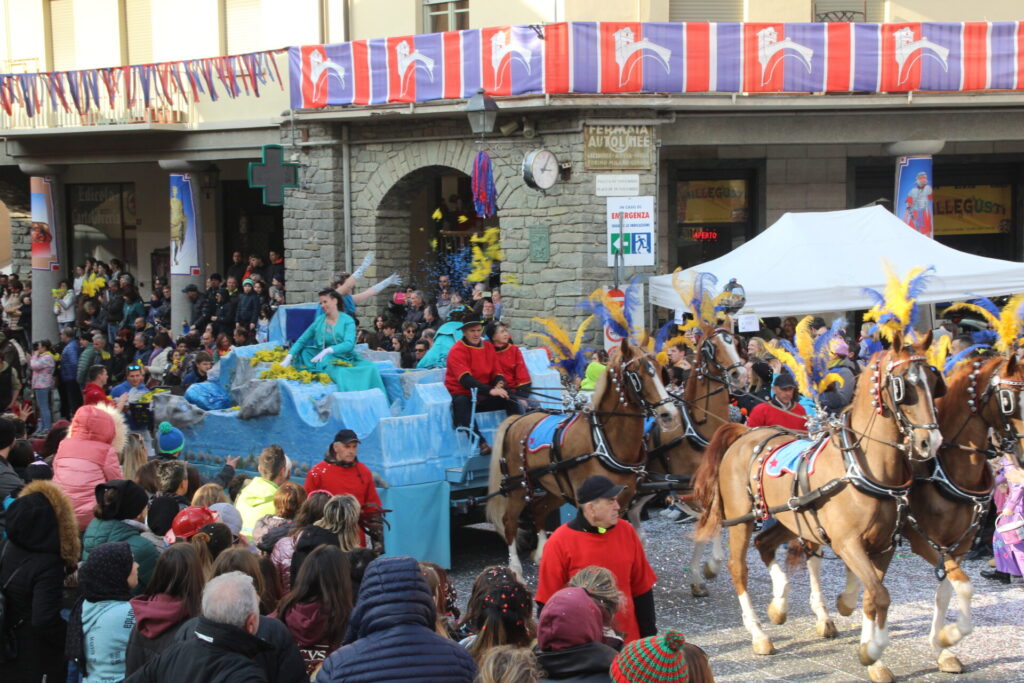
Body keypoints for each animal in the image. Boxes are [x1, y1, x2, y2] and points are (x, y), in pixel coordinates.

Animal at [485, 339, 679, 581]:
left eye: (662, 372)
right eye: (636, 375)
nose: (668, 414)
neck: (604, 441)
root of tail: (517, 419)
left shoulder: (622, 498)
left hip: (553, 486)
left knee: (538, 510)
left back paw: (542, 553)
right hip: (518, 487)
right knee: (509, 522)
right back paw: (515, 570)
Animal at [622, 323, 745, 593]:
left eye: (735, 342)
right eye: (713, 346)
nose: (739, 374)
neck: (699, 428)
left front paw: (700, 576)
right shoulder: (692, 490)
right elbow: (706, 524)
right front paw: (710, 566)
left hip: (648, 485)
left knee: (634, 513)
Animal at [696, 335, 942, 683]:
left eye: (933, 383)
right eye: (903, 386)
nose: (930, 442)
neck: (862, 467)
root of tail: (745, 433)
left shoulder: (884, 545)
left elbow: (873, 596)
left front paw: (873, 655)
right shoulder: (848, 543)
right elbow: (879, 595)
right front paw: (873, 651)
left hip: (789, 517)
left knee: (765, 544)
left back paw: (779, 605)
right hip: (742, 519)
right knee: (738, 567)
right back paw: (759, 633)